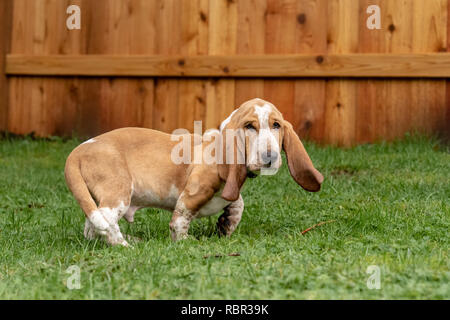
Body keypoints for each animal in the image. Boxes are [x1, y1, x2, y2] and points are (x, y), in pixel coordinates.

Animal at [64, 99, 324, 246]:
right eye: (250, 126)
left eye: (276, 125)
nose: (270, 157)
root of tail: (77, 152)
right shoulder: (195, 191)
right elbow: (180, 218)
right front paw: (185, 242)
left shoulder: (228, 190)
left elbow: (237, 201)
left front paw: (227, 224)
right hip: (118, 192)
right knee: (104, 220)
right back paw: (124, 244)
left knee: (91, 226)